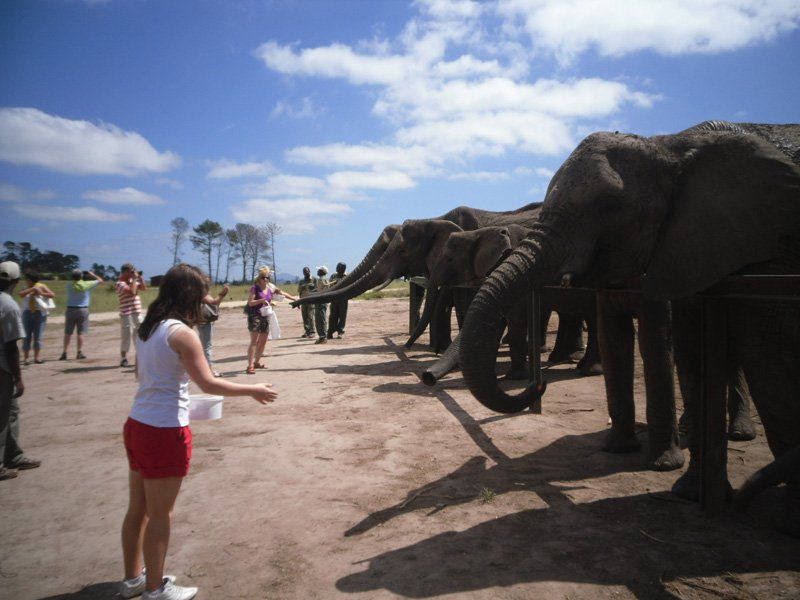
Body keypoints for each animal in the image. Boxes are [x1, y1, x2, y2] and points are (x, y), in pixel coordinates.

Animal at [457, 121, 800, 531]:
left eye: (609, 207)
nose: (538, 385)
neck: (670, 146)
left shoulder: (764, 247)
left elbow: (763, 353)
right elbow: (649, 344)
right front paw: (650, 469)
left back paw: (738, 436)